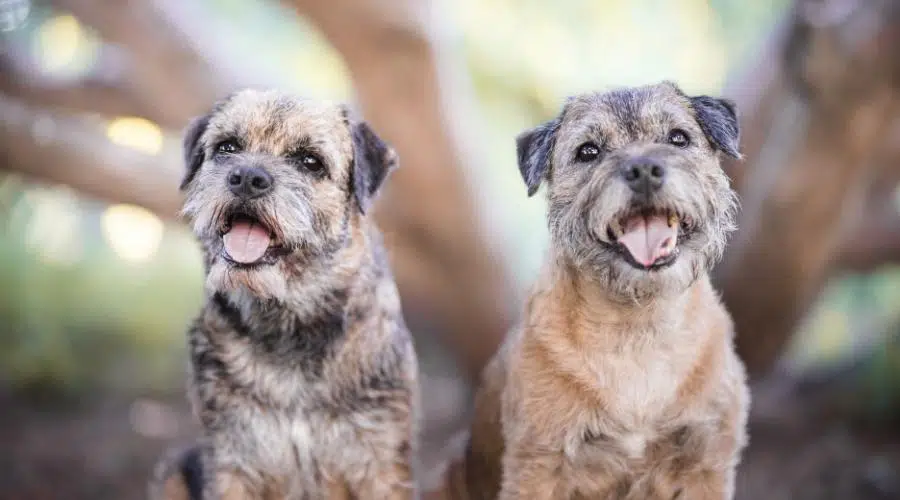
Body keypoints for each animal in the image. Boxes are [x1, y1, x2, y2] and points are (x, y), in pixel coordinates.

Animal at [152, 90, 422, 500]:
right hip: (172, 472)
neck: (289, 320)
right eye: (227, 147)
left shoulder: (382, 466)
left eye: (310, 161)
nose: (247, 178)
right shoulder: (231, 462)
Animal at [464, 83, 752, 500]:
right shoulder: (537, 464)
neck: (638, 326)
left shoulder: (706, 463)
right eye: (588, 151)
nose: (644, 169)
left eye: (678, 138)